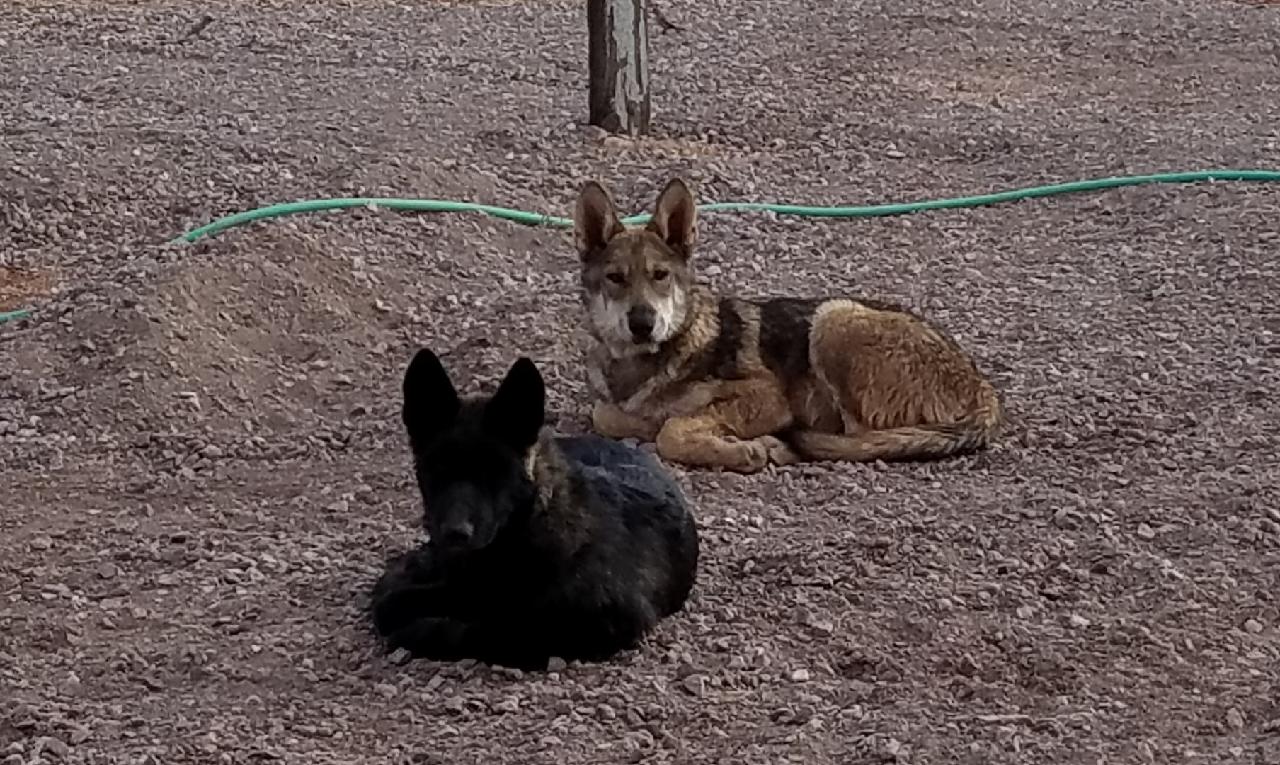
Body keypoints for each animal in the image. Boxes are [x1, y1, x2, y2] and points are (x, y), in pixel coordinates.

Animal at [371, 350, 701, 670]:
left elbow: (495, 630)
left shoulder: (598, 622)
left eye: (495, 472)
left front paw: (423, 630)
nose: (455, 534)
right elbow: (397, 598)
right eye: (436, 469)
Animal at [576, 177, 1003, 473]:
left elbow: (672, 430)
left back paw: (777, 446)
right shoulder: (614, 405)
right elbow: (608, 414)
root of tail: (982, 388)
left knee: (855, 439)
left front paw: (735, 450)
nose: (642, 323)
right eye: (616, 278)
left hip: (834, 319)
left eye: (660, 276)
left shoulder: (767, 397)